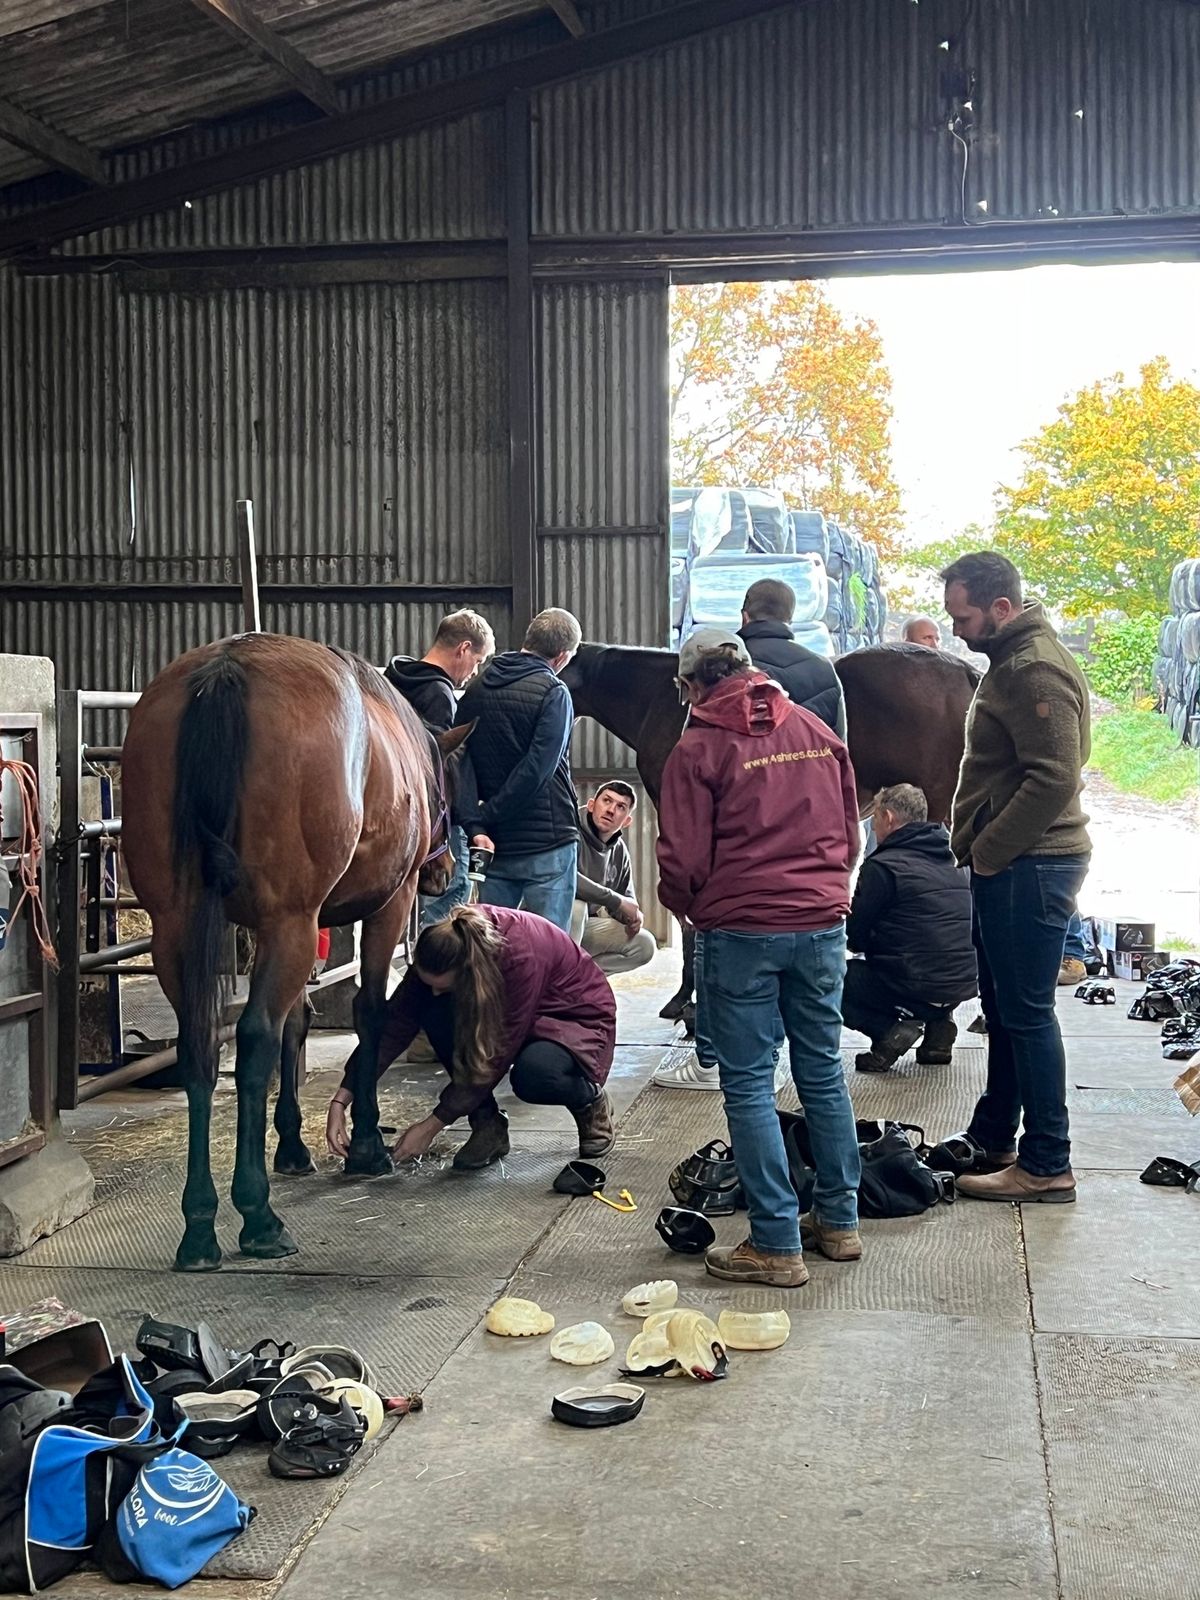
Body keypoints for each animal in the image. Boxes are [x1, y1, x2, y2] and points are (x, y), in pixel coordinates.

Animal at [120, 636, 470, 1273]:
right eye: (451, 793)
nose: (445, 871)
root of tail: (225, 672)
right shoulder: (380, 908)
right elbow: (368, 1013)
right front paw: (365, 1145)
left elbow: (299, 1023)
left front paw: (291, 1146)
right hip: (291, 922)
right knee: (254, 1037)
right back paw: (258, 1218)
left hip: (177, 926)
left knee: (202, 1045)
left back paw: (199, 1227)